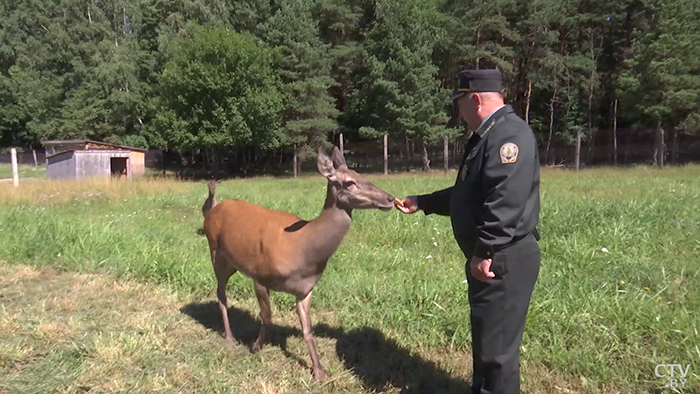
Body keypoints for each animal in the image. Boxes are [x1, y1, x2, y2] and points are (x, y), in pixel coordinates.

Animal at [205, 146, 396, 380]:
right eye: (350, 182)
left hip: (231, 262)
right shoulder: (260, 274)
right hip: (216, 252)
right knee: (220, 292)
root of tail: (212, 210)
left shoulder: (305, 289)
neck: (302, 248)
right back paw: (229, 337)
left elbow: (308, 329)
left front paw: (319, 371)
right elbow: (267, 316)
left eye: (362, 175)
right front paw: (256, 347)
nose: (390, 198)